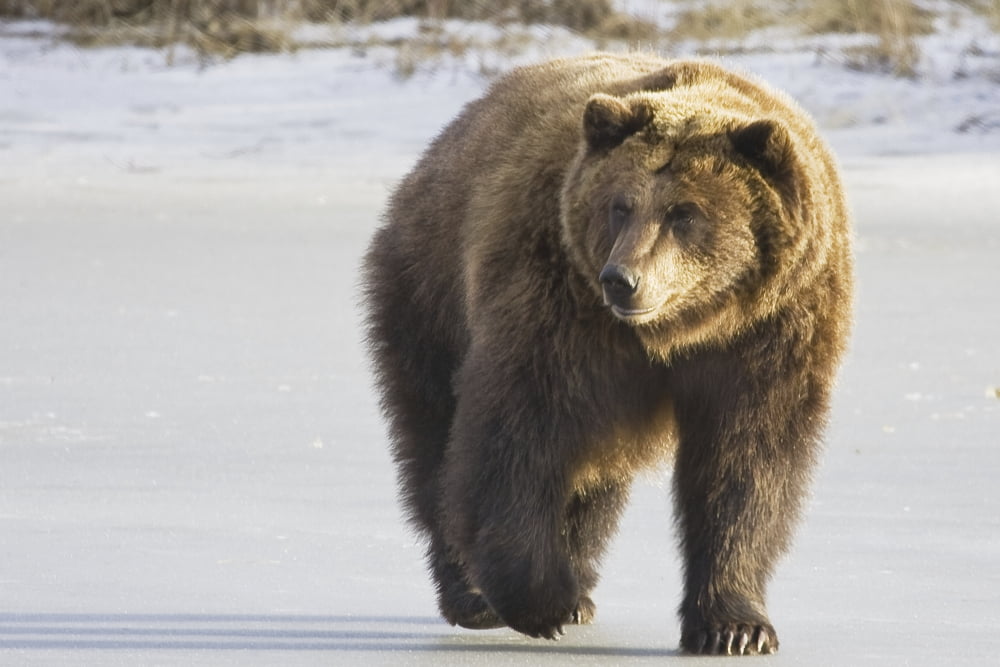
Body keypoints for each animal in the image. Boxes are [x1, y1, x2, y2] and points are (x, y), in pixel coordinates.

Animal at [364, 52, 852, 655]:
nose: (622, 279)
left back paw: (577, 586)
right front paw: (538, 599)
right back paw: (475, 596)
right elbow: (519, 432)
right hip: (431, 289)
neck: (682, 328)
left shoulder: (771, 333)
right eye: (621, 205)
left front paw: (735, 627)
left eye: (685, 213)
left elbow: (746, 462)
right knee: (436, 442)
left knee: (593, 474)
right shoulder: (554, 297)